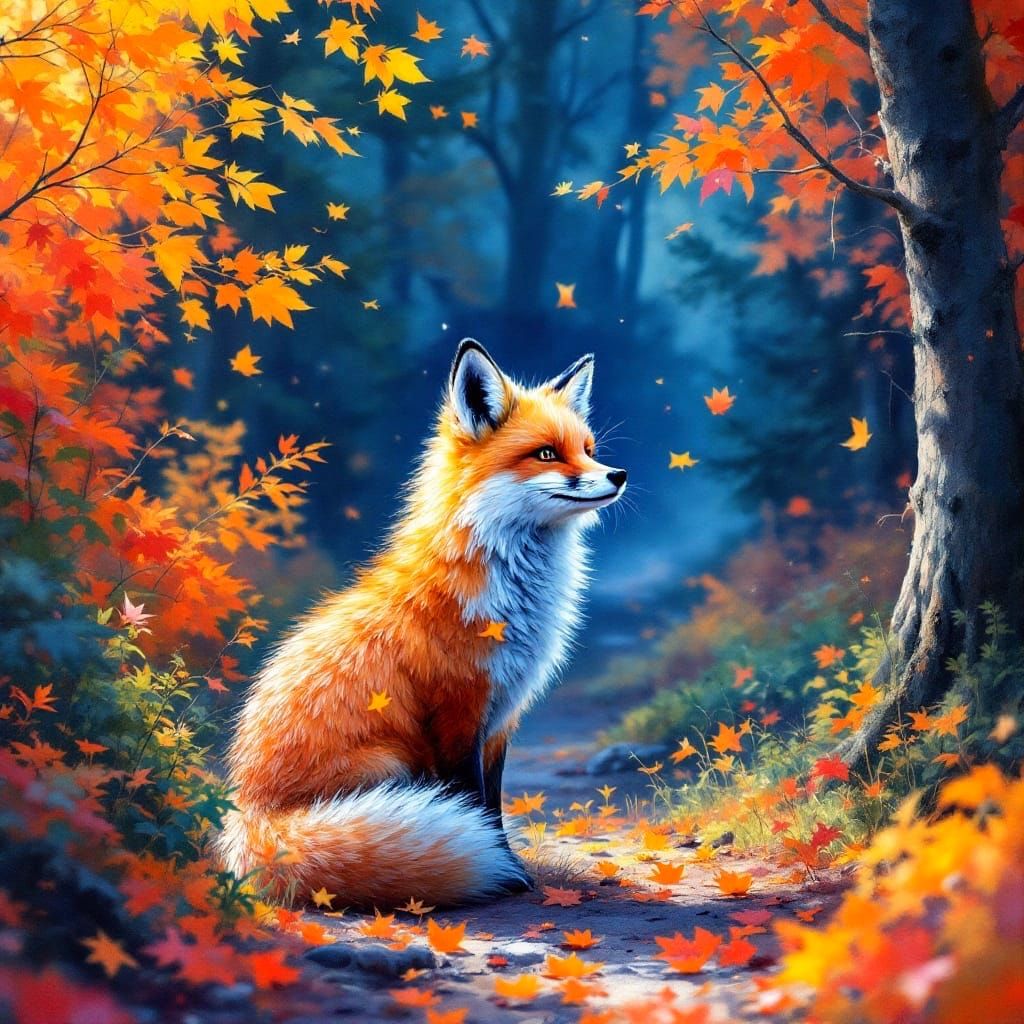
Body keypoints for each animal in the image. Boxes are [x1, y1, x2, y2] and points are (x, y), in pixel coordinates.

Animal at [215, 339, 627, 907]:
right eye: (546, 453)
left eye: (588, 448)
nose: (618, 475)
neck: (511, 599)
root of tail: (250, 814)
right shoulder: (457, 711)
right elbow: (473, 804)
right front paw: (503, 875)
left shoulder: (500, 719)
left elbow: (493, 807)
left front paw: (510, 867)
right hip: (388, 764)